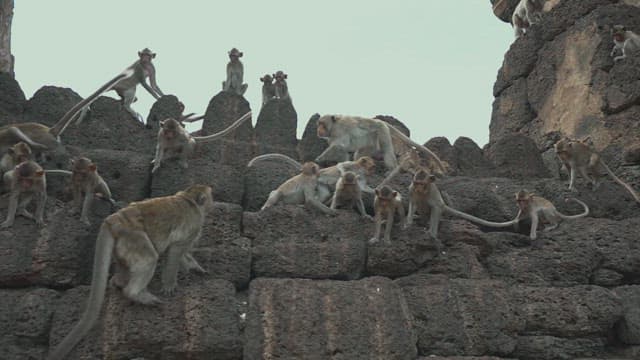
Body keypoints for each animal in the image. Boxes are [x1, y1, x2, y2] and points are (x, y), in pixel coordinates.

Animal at [46, 186, 215, 360]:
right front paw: (169, 286)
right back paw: (136, 294)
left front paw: (197, 269)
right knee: (149, 258)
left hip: (123, 244)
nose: (213, 203)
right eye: (211, 196)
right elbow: (176, 251)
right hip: (133, 236)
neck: (190, 199)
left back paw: (118, 283)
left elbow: (183, 254)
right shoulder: (194, 225)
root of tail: (113, 220)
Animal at [314, 114, 444, 173]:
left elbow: (339, 146)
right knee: (360, 153)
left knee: (387, 150)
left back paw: (392, 168)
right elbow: (342, 149)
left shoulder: (339, 130)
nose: (318, 129)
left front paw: (319, 159)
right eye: (319, 124)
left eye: (322, 124)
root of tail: (381, 121)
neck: (333, 126)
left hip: (382, 131)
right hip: (372, 141)